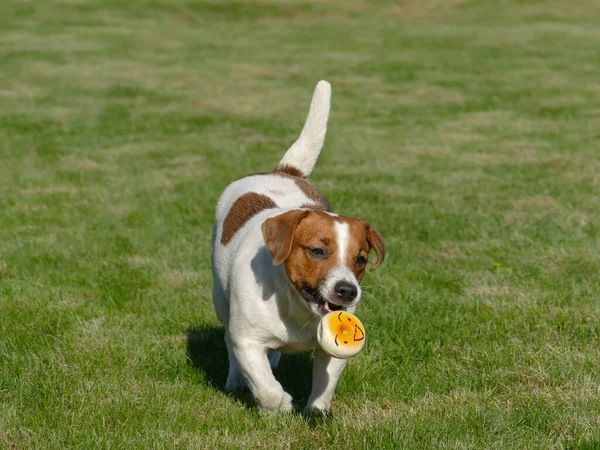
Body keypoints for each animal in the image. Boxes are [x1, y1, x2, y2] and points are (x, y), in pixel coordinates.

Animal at [211, 81, 386, 414]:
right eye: (317, 251)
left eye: (360, 259)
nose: (348, 291)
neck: (296, 307)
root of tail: (284, 171)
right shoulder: (247, 340)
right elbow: (262, 382)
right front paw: (279, 403)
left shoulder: (331, 354)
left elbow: (324, 386)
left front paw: (316, 411)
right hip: (220, 298)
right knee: (228, 343)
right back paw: (236, 380)